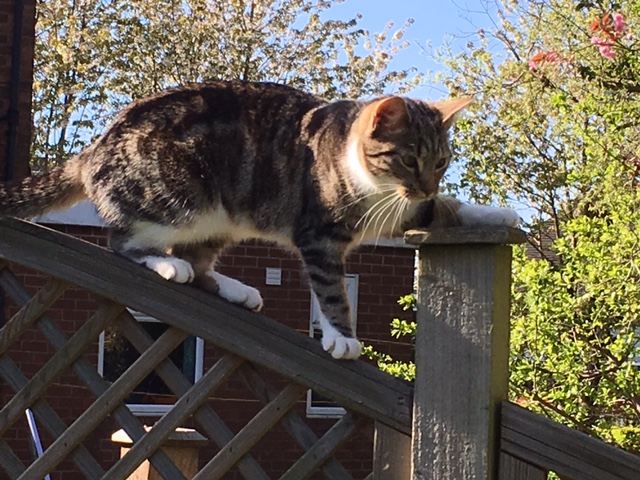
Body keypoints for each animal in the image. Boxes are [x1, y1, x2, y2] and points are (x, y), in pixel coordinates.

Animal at [0, 80, 519, 360]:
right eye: (410, 160)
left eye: (441, 163)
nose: (427, 184)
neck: (373, 185)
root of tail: (95, 149)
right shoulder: (320, 236)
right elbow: (331, 290)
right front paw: (341, 336)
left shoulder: (399, 208)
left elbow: (441, 210)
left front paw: (495, 211)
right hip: (183, 196)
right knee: (125, 243)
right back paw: (167, 264)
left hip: (222, 218)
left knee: (201, 262)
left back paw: (236, 289)